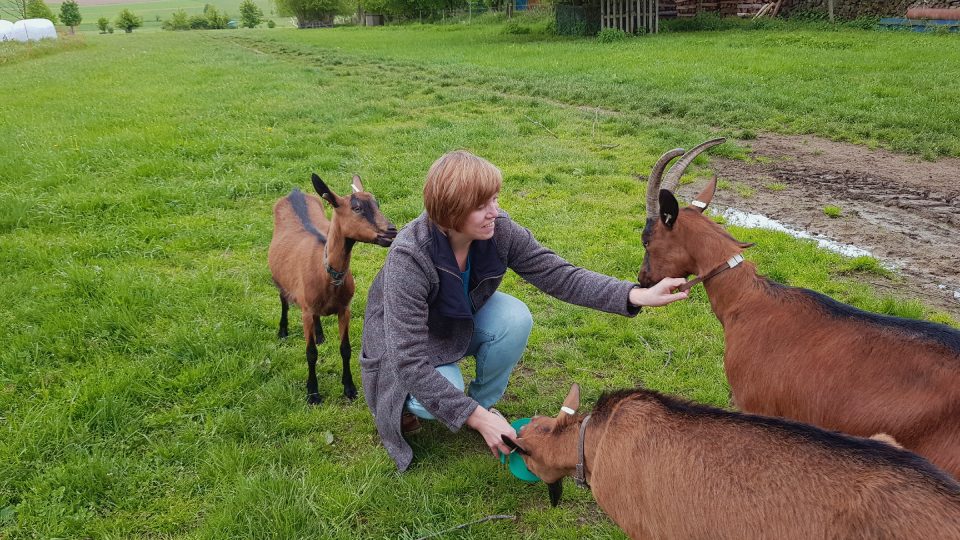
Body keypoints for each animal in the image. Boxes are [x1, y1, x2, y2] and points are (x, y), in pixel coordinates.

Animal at [268, 175, 396, 402]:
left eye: (377, 203)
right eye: (356, 208)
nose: (391, 231)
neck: (326, 272)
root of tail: (295, 192)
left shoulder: (345, 308)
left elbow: (345, 348)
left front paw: (350, 388)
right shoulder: (306, 311)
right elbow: (310, 353)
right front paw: (313, 393)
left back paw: (319, 335)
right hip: (280, 278)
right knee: (283, 299)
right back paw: (283, 331)